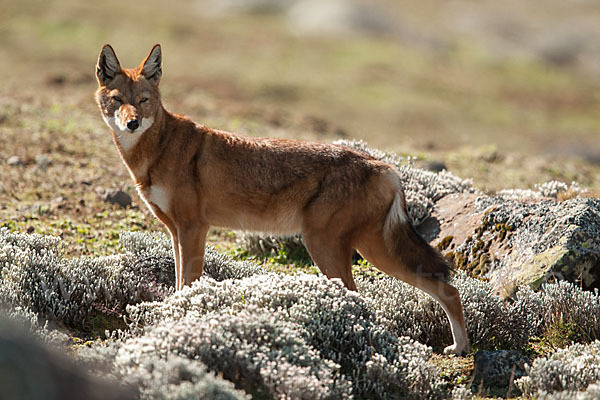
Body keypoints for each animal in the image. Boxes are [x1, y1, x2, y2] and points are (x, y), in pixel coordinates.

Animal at [94, 43, 468, 354]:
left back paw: (457, 348)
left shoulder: (194, 228)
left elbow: (188, 284)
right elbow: (177, 284)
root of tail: (385, 166)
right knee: (442, 290)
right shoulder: (176, 232)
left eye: (143, 100)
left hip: (338, 248)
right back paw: (459, 347)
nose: (132, 123)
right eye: (118, 99)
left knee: (438, 291)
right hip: (355, 249)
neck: (156, 151)